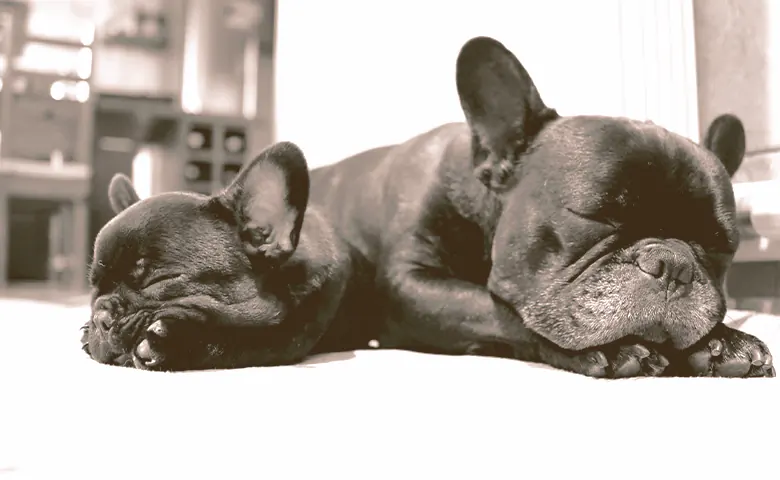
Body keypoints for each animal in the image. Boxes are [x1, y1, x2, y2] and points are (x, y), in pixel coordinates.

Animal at [80, 141, 380, 370]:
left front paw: (173, 342)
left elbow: (245, 341)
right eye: (94, 289)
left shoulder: (293, 332)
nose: (101, 317)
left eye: (159, 280)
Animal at [310, 35, 772, 376]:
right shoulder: (412, 284)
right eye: (593, 216)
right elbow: (495, 309)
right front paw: (620, 345)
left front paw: (724, 340)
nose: (673, 263)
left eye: (721, 247)